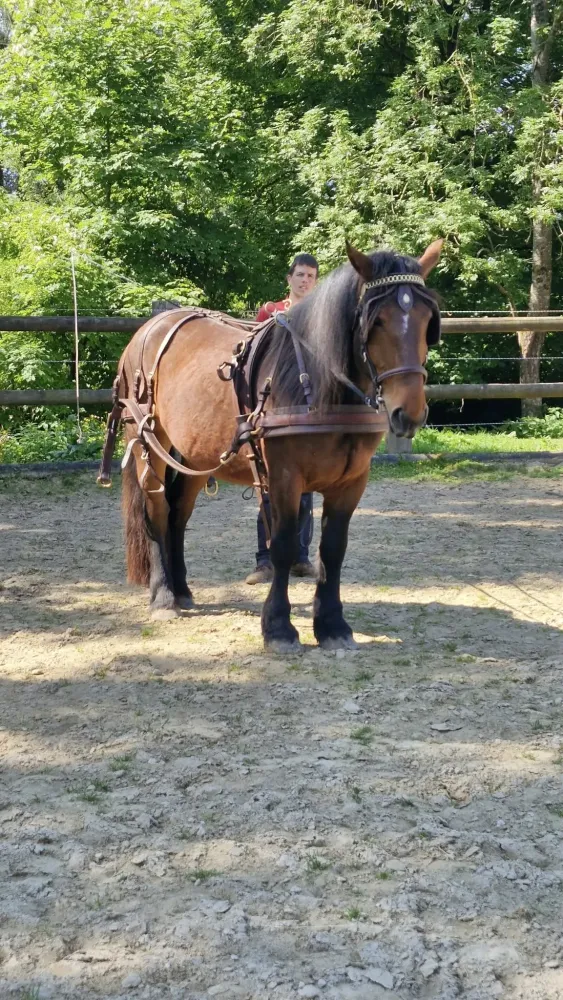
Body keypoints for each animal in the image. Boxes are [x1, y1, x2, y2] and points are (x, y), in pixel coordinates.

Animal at [114, 239, 443, 651]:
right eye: (376, 320)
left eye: (428, 321)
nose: (409, 413)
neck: (320, 386)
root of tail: (152, 326)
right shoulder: (285, 476)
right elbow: (283, 544)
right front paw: (278, 627)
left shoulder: (353, 481)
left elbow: (333, 548)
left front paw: (332, 624)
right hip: (147, 441)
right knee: (157, 511)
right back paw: (162, 597)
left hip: (196, 453)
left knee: (178, 513)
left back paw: (183, 590)